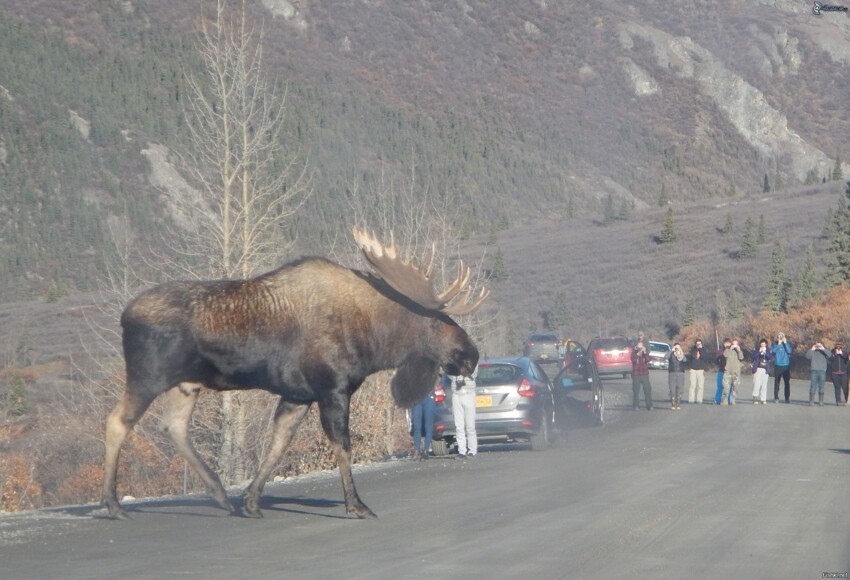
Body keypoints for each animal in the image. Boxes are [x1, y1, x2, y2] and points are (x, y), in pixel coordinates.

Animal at [102, 228, 486, 520]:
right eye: (438, 321)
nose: (472, 355)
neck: (373, 340)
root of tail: (124, 315)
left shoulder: (298, 395)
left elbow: (278, 444)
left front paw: (251, 501)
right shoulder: (332, 389)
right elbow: (342, 446)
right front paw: (356, 504)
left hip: (186, 383)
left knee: (174, 427)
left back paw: (220, 494)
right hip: (148, 376)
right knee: (117, 421)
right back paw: (113, 505)